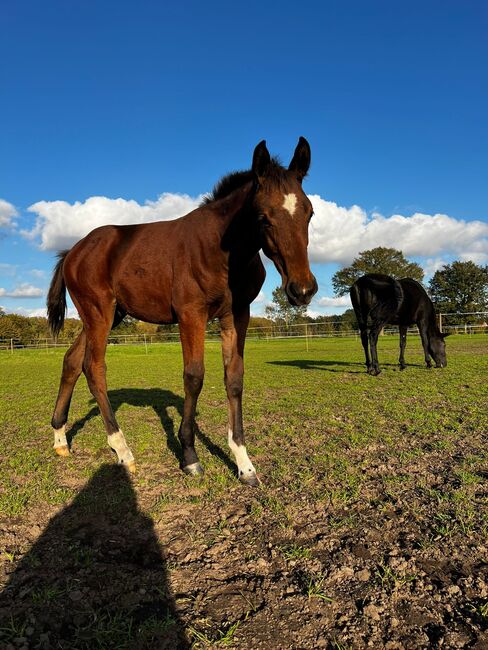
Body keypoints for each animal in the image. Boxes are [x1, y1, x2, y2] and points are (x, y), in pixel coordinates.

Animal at [47, 137, 318, 484]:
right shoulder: (192, 314)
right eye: (263, 216)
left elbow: (235, 378)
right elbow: (194, 376)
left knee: (71, 361)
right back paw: (122, 450)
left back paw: (60, 439)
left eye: (309, 213)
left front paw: (244, 464)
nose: (303, 290)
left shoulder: (237, 315)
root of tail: (73, 250)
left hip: (107, 315)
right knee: (93, 367)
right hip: (99, 312)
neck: (222, 250)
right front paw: (189, 455)